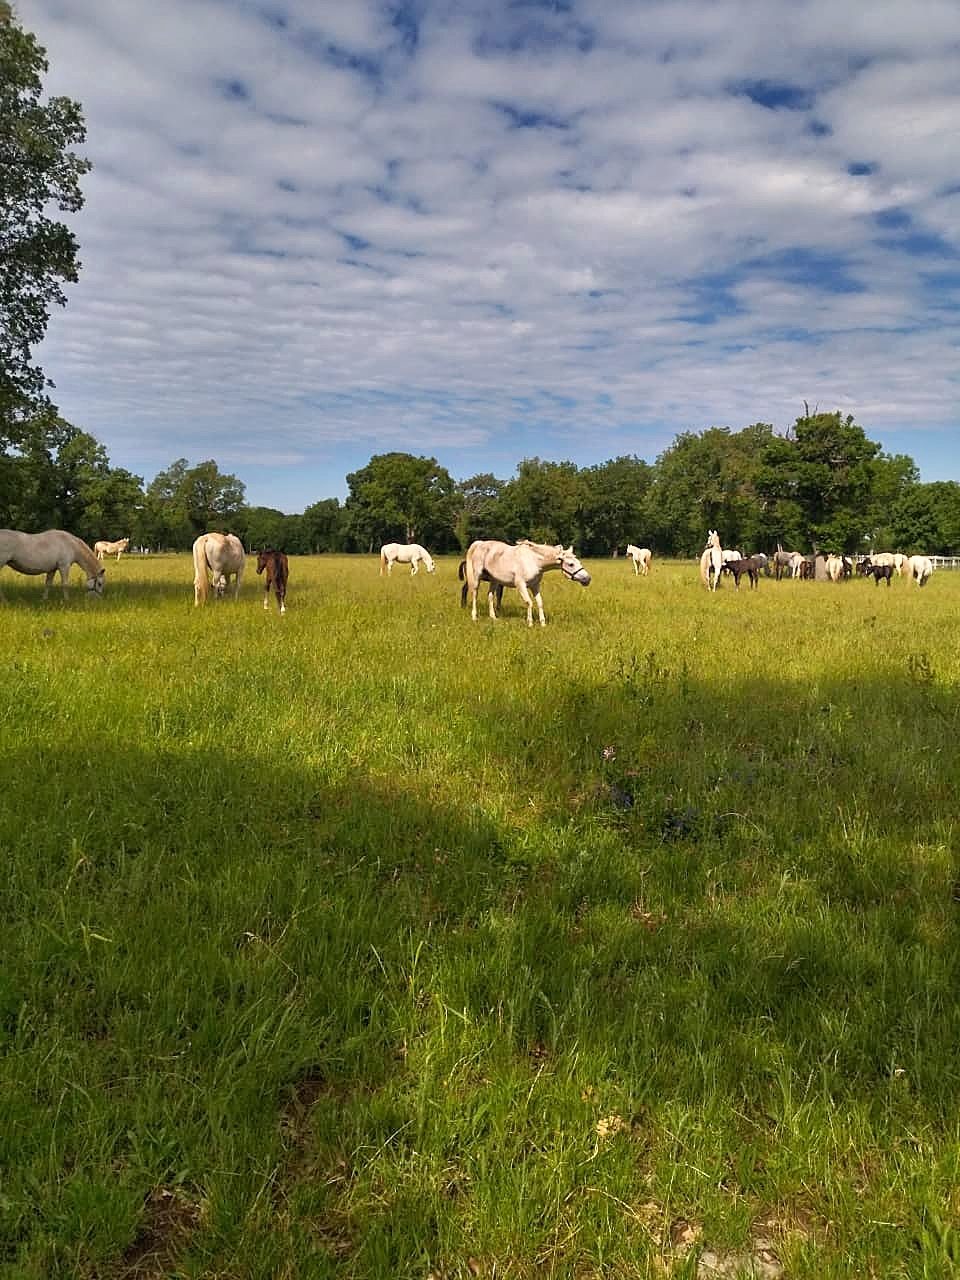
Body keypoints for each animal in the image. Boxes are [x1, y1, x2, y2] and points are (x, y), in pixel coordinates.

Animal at [459, 538, 590, 626]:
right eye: (571, 564)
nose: (587, 579)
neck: (534, 561)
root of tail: (479, 544)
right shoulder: (521, 585)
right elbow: (529, 602)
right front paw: (530, 622)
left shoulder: (535, 586)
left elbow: (540, 602)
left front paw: (543, 623)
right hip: (476, 578)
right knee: (474, 594)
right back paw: (474, 616)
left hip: (494, 581)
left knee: (490, 596)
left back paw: (493, 617)